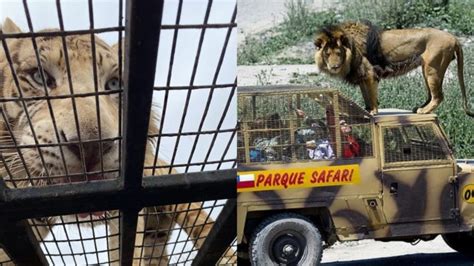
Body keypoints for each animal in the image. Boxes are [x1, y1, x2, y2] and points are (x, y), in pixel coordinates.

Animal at [314, 20, 474, 116]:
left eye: (338, 53)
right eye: (327, 54)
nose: (334, 66)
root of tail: (454, 37)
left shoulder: (370, 73)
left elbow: (371, 95)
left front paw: (373, 111)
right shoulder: (362, 75)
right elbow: (365, 95)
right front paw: (367, 110)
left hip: (433, 68)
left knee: (438, 96)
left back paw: (423, 111)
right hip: (427, 69)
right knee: (431, 95)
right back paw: (419, 108)